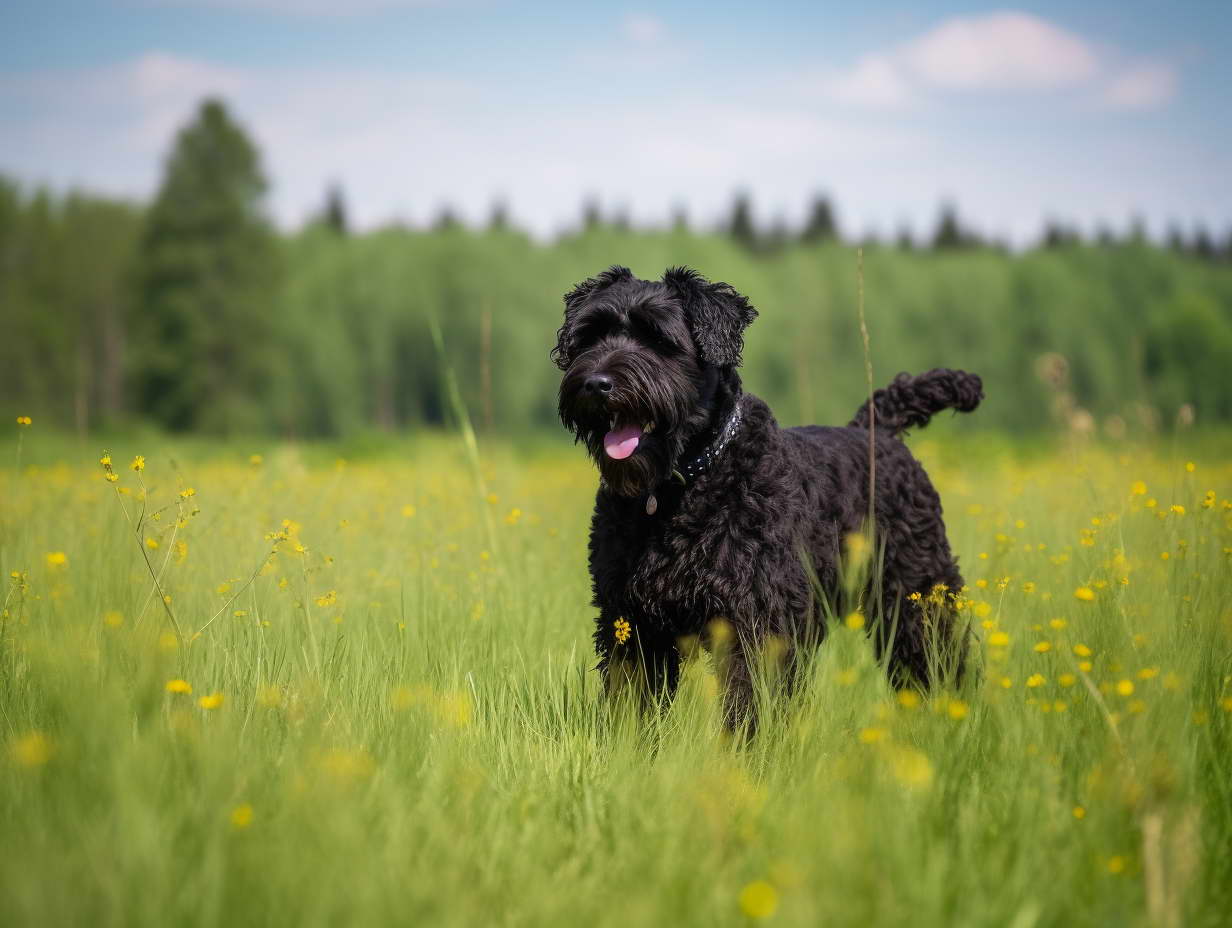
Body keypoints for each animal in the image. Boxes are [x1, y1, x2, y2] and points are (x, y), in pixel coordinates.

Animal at [554, 263, 985, 729]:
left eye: (657, 338)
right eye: (590, 335)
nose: (596, 383)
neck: (678, 491)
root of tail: (879, 431)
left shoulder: (756, 618)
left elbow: (750, 704)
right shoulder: (632, 620)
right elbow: (634, 701)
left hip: (917, 596)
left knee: (937, 659)